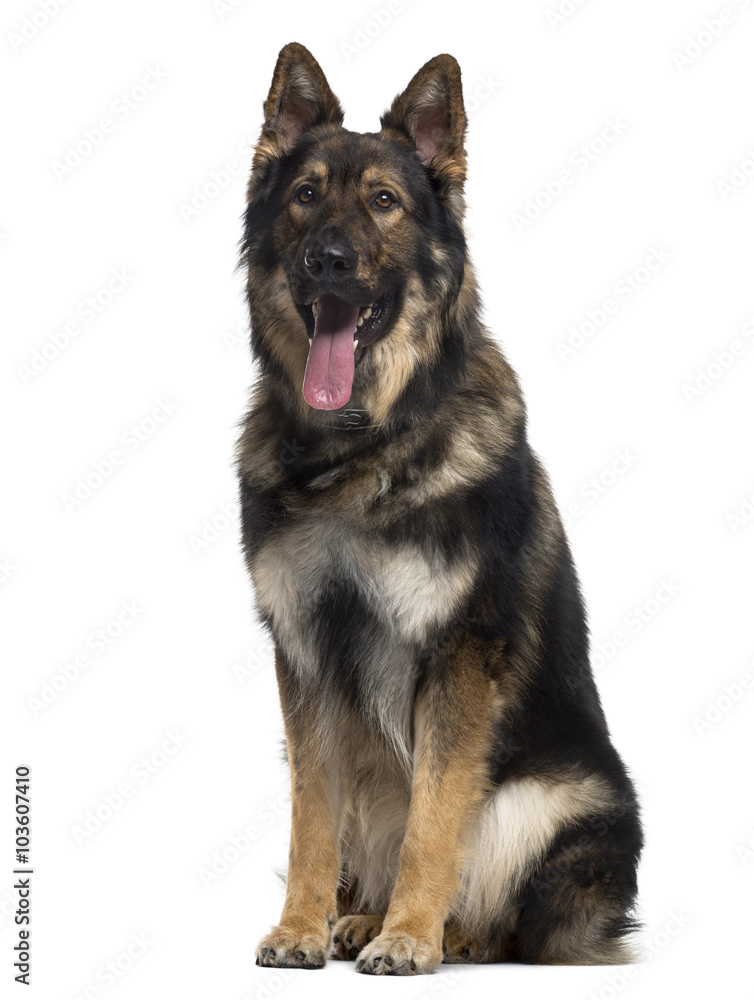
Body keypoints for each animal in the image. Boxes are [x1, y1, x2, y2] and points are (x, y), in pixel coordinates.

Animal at [238, 43, 636, 972]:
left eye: (384, 202)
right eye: (306, 195)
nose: (329, 260)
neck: (360, 451)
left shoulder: (459, 657)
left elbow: (435, 819)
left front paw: (411, 937)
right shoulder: (304, 656)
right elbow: (312, 817)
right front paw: (300, 927)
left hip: (548, 802)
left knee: (506, 915)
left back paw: (438, 931)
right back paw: (354, 916)